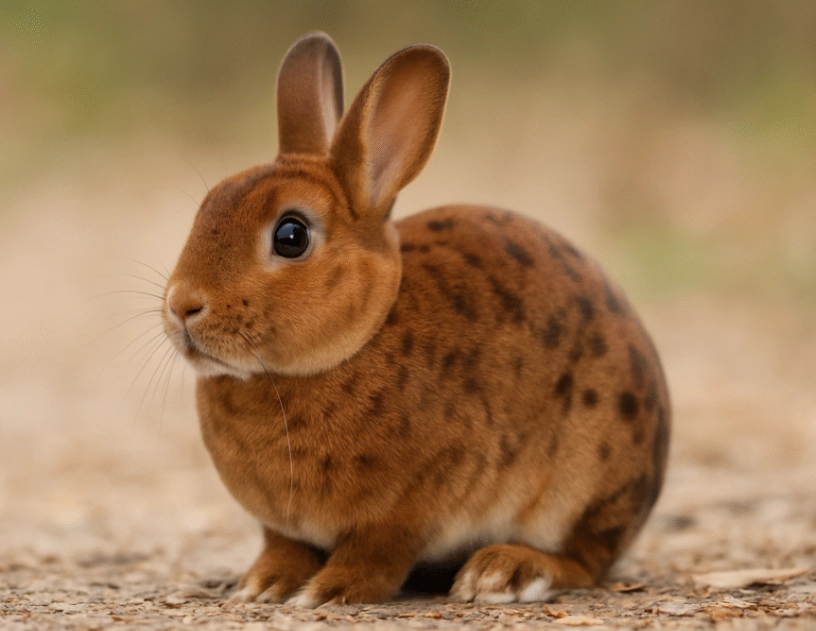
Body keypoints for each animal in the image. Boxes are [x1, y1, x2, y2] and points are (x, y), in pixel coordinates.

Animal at [161, 32, 670, 607]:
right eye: (207, 205)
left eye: (291, 236)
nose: (182, 305)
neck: (357, 339)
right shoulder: (281, 527)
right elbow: (282, 547)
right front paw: (262, 586)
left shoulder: (409, 510)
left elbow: (376, 555)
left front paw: (328, 592)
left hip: (582, 484)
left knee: (585, 561)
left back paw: (501, 573)